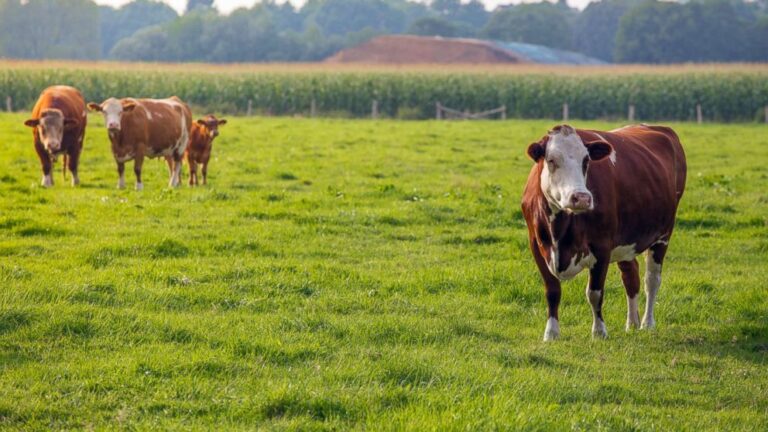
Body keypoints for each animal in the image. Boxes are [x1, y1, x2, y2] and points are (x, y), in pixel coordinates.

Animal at [521, 124, 686, 341]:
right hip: (626, 241)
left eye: (586, 160)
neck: (560, 230)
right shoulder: (537, 245)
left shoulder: (602, 246)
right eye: (551, 160)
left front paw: (599, 332)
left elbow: (594, 292)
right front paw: (551, 333)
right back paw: (632, 323)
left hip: (663, 235)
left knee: (651, 280)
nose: (581, 197)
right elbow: (552, 291)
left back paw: (647, 323)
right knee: (631, 276)